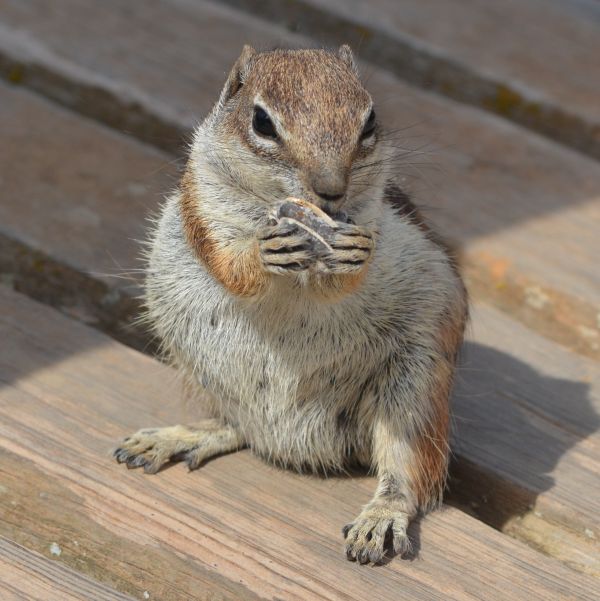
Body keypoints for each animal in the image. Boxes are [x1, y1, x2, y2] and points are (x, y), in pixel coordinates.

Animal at [113, 45, 468, 564]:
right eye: (262, 122)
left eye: (370, 121)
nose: (331, 190)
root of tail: (296, 444)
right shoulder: (202, 202)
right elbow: (229, 264)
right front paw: (262, 253)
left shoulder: (373, 217)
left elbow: (345, 276)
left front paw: (352, 254)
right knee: (238, 426)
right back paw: (183, 435)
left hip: (415, 384)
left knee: (408, 471)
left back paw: (382, 514)